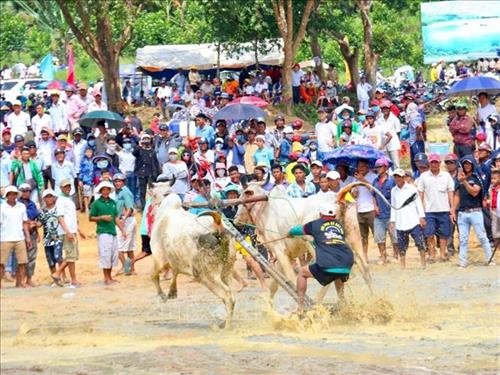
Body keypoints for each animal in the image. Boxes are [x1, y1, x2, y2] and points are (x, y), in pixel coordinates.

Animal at [148, 191, 236, 328]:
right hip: (227, 271)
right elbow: (174, 273)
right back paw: (224, 322)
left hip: (208, 276)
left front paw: (164, 296)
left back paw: (226, 326)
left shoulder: (160, 259)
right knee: (230, 294)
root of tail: (219, 228)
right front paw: (172, 293)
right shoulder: (175, 261)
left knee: (227, 296)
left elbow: (154, 276)